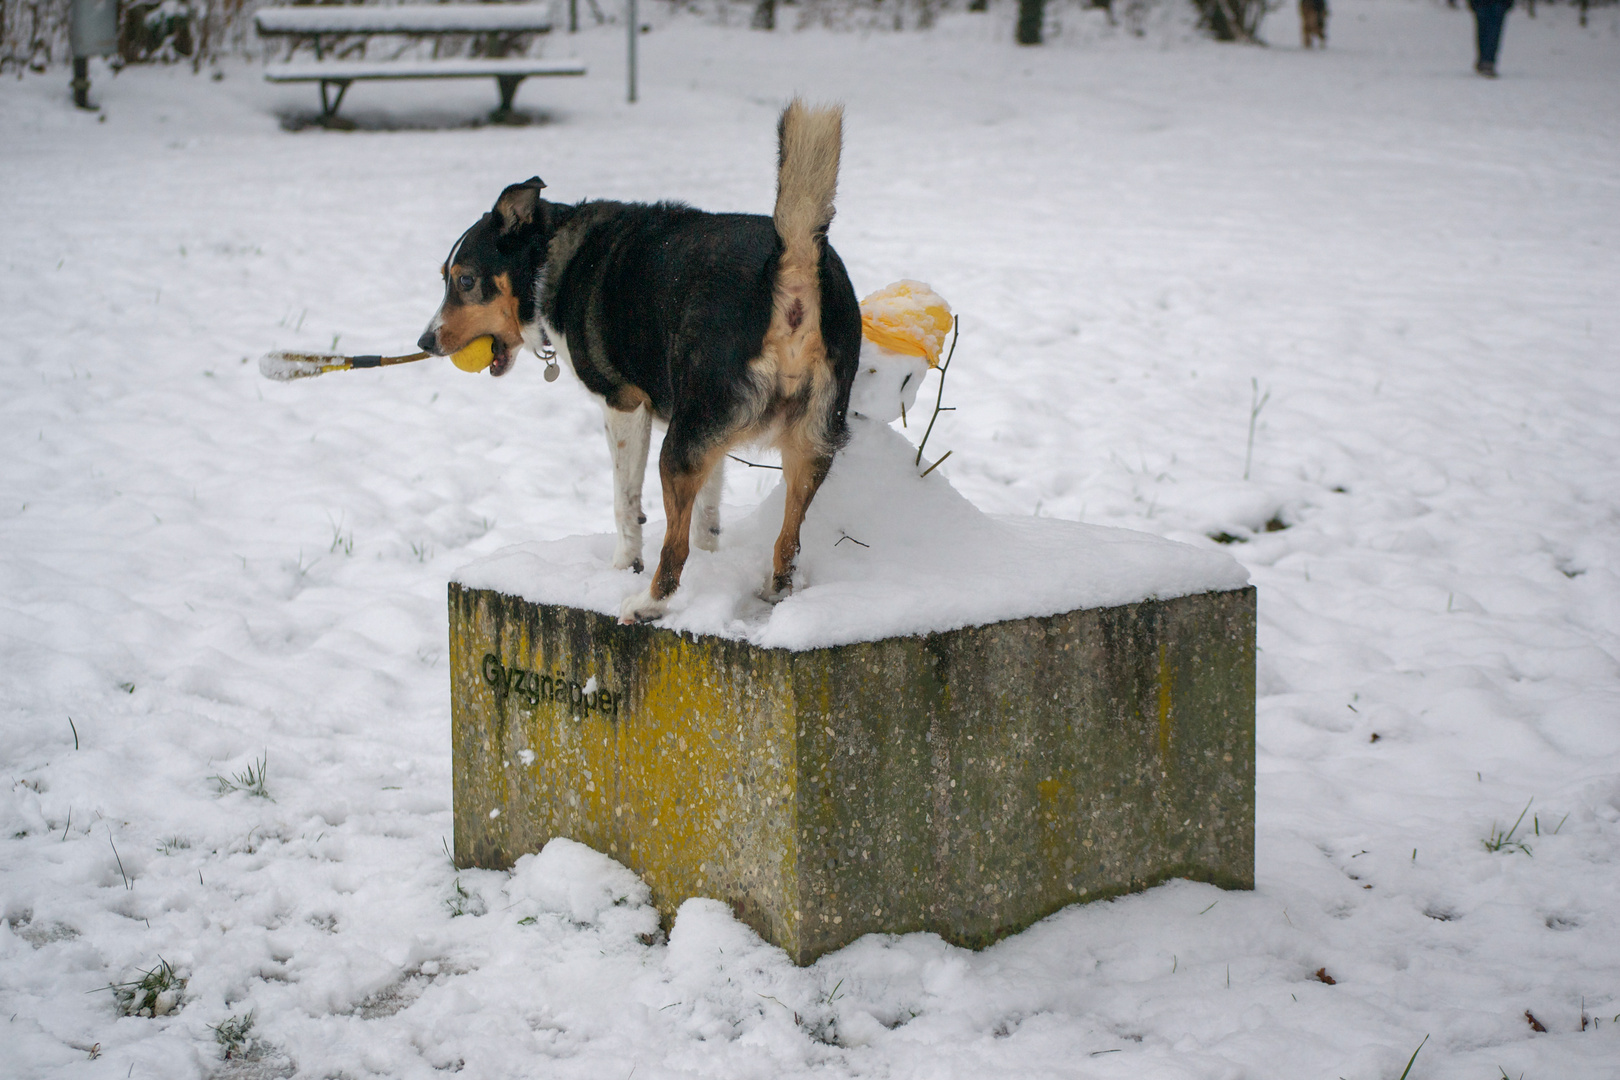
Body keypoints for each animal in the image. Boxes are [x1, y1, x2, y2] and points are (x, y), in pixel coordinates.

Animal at [424, 103, 868, 625]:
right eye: (446, 277)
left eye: (465, 281)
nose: (425, 340)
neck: (552, 257)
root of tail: (789, 271)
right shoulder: (711, 442)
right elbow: (707, 516)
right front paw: (713, 556)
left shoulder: (624, 405)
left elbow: (625, 503)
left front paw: (623, 565)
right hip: (805, 445)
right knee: (786, 544)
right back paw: (773, 593)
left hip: (678, 447)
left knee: (674, 553)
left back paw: (646, 602)